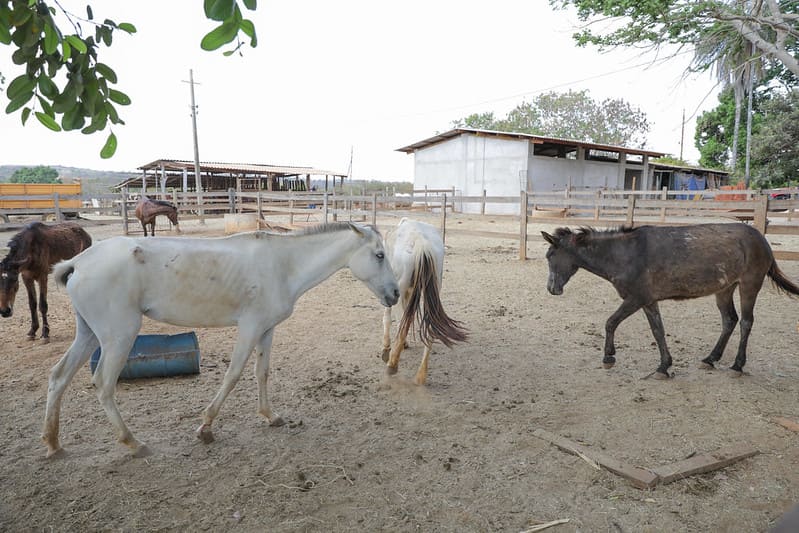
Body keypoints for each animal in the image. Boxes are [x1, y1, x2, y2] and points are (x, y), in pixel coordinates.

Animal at [42, 220, 400, 458]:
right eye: (380, 255)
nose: (396, 294)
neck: (282, 265)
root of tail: (78, 262)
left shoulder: (266, 329)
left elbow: (261, 372)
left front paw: (270, 416)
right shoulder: (250, 327)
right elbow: (233, 374)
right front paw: (205, 427)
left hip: (89, 334)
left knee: (58, 376)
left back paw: (53, 443)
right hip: (119, 336)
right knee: (103, 384)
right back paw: (132, 442)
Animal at [382, 218, 468, 384]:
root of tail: (421, 243)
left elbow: (389, 319)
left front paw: (386, 348)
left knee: (403, 325)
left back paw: (392, 365)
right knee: (429, 329)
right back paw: (421, 375)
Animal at [540, 224, 799, 378]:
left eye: (550, 255)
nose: (552, 289)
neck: (626, 254)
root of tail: (761, 239)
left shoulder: (636, 299)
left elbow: (610, 322)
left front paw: (609, 358)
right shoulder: (648, 301)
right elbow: (658, 331)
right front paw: (664, 366)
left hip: (749, 285)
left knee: (746, 322)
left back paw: (737, 365)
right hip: (724, 289)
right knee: (729, 320)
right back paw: (710, 359)